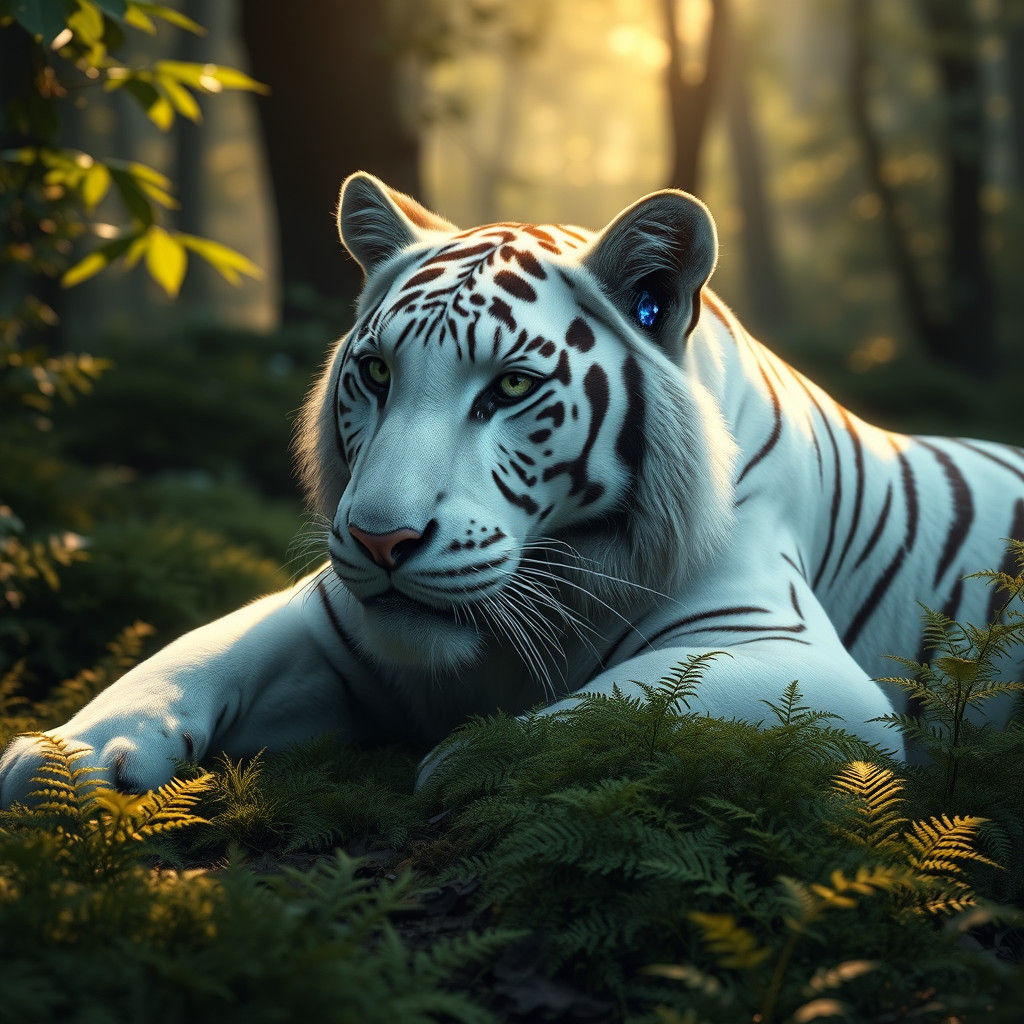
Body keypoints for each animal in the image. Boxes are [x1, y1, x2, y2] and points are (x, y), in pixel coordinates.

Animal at [2, 171, 1022, 805]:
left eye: (512, 388)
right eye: (376, 373)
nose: (380, 541)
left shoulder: (789, 658)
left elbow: (614, 702)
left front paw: (464, 757)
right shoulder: (326, 614)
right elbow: (189, 652)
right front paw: (65, 759)